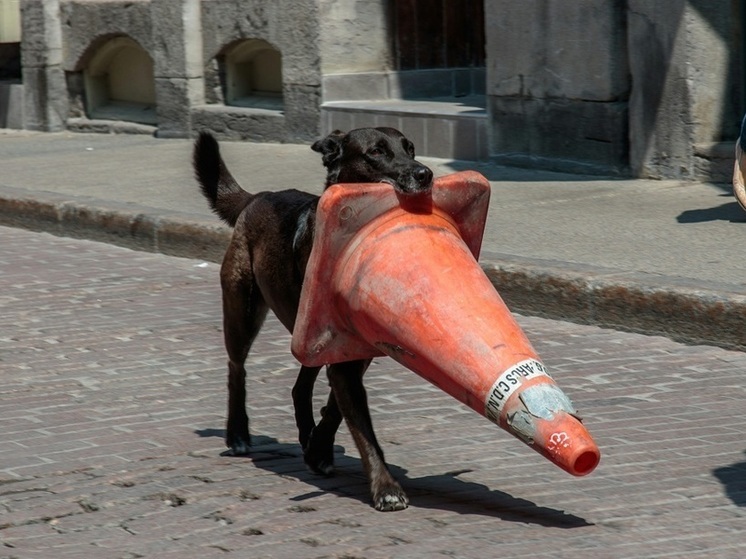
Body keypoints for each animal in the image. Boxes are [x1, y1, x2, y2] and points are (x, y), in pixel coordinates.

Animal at [195, 128, 434, 512]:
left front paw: (318, 448)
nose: (425, 174)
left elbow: (338, 408)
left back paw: (307, 435)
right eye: (376, 152)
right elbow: (363, 430)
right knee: (236, 369)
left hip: (307, 336)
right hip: (242, 311)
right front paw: (385, 488)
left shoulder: (355, 352)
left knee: (300, 385)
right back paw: (238, 434)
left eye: (410, 149)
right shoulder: (344, 360)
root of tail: (259, 197)